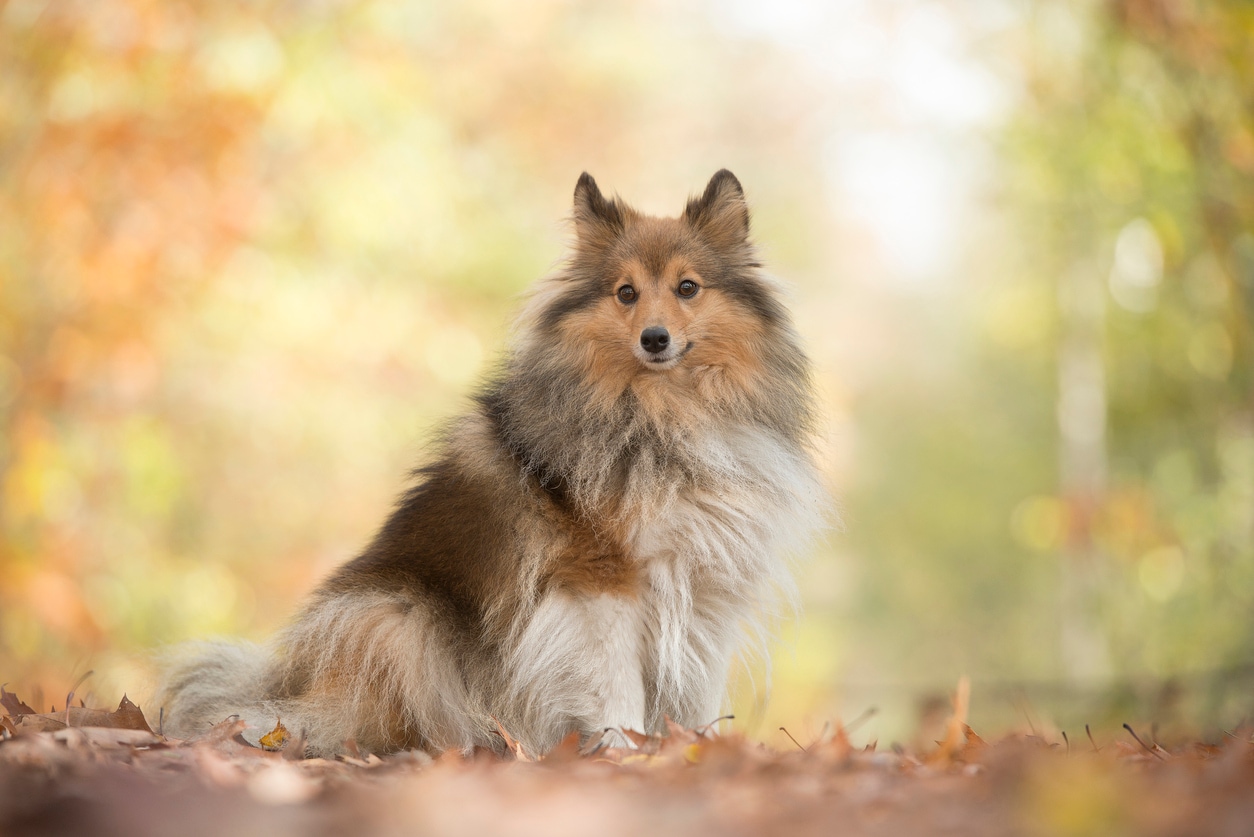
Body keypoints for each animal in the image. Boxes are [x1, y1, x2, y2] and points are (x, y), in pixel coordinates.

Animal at [154, 170, 822, 757]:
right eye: (625, 292)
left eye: (688, 287)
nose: (654, 339)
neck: (666, 413)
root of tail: (289, 699)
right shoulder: (602, 579)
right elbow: (617, 684)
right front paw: (627, 752)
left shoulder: (706, 582)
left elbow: (697, 688)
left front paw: (695, 749)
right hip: (398, 617)